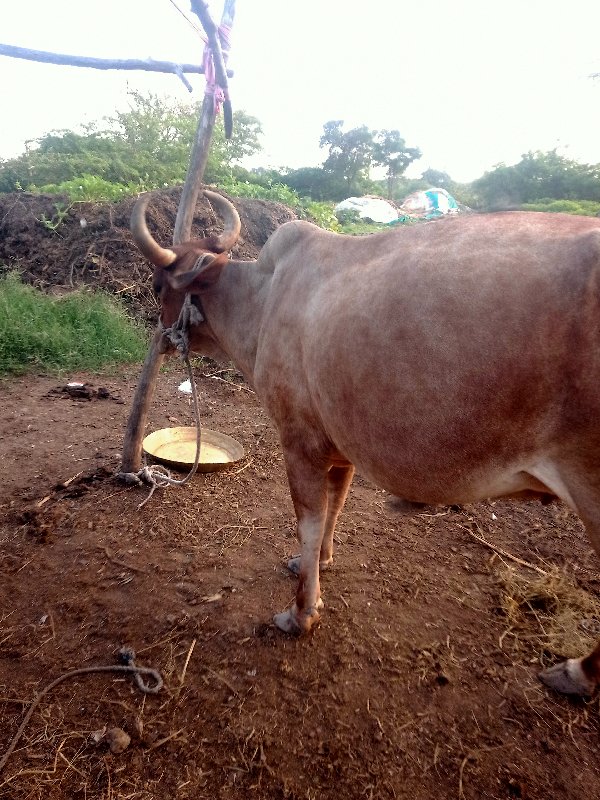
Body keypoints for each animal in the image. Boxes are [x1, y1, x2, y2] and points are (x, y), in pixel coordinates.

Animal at [130, 191, 600, 696]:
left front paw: (302, 611)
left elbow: (310, 520)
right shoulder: (341, 449)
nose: (159, 340)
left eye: (158, 286)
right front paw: (317, 561)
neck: (264, 298)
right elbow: (334, 508)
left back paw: (577, 672)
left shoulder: (300, 442)